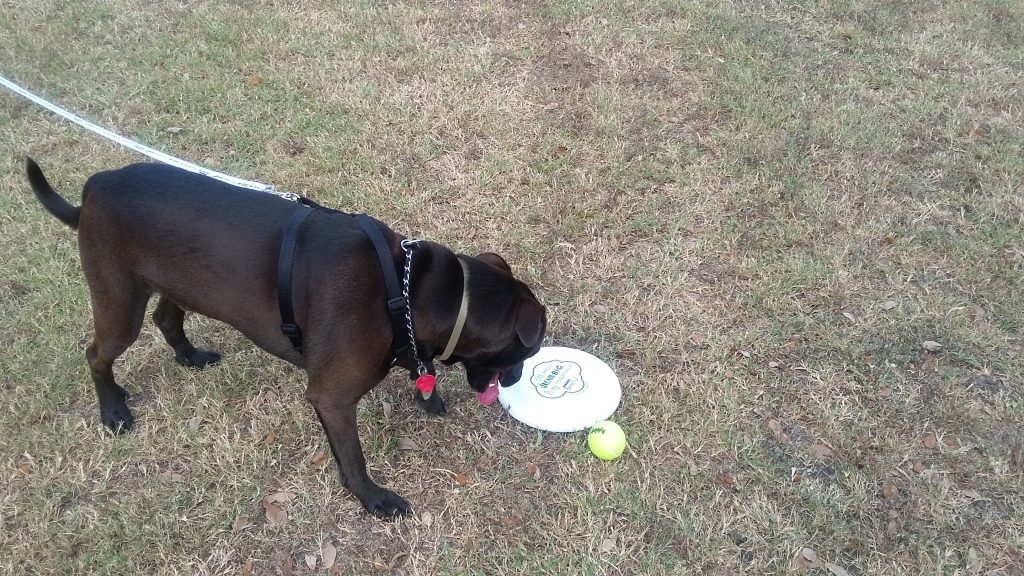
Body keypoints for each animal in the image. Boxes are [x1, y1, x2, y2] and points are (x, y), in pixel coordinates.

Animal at [28, 156, 544, 516]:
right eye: (524, 350)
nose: (518, 381)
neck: (406, 289)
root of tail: (94, 188)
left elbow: (420, 364)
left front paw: (428, 392)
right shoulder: (332, 398)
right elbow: (352, 459)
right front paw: (373, 500)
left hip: (182, 283)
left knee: (166, 318)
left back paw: (189, 356)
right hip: (119, 303)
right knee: (97, 353)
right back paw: (113, 410)